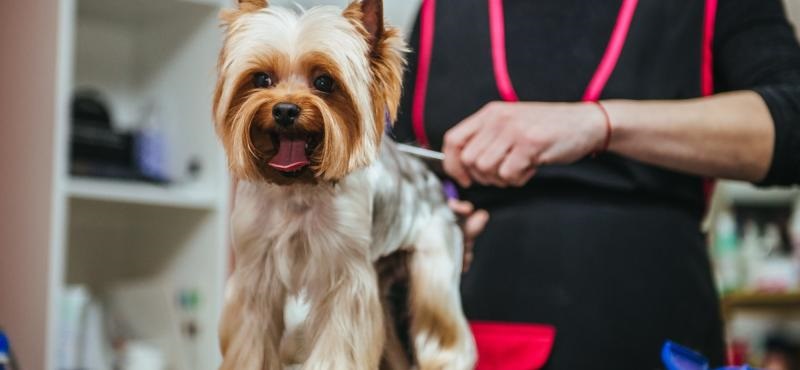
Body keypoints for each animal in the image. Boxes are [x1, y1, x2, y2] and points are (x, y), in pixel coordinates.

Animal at [212, 1, 476, 368]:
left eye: (324, 81)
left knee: (444, 335)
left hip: (434, 267)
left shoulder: (346, 278)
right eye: (262, 79)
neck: (300, 185)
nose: (284, 110)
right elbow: (253, 342)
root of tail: (433, 182)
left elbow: (339, 343)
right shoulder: (256, 274)